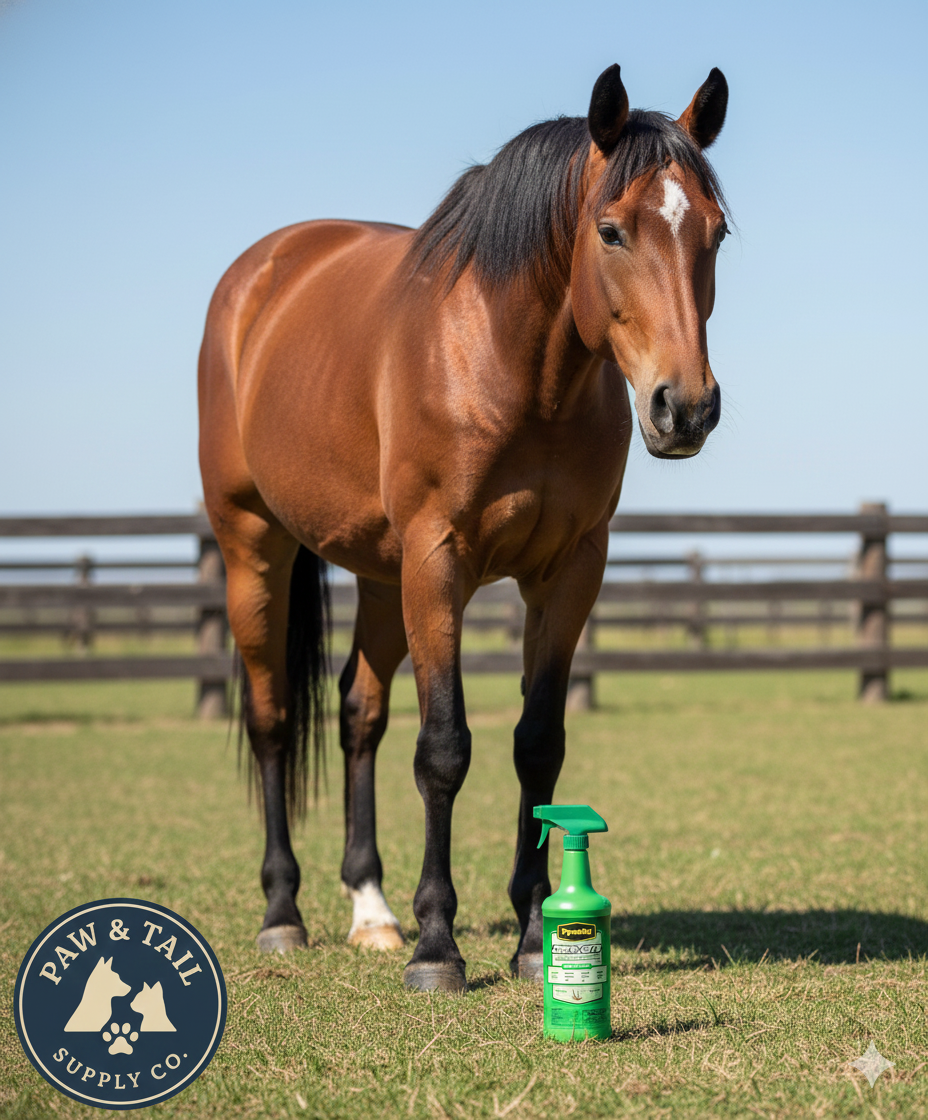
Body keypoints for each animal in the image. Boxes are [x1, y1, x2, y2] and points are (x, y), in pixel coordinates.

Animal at [198, 63, 730, 992]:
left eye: (718, 233)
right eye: (611, 231)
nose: (686, 407)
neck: (516, 368)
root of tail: (263, 272)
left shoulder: (568, 572)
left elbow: (538, 746)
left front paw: (532, 931)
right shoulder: (438, 562)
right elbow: (444, 749)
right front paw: (438, 945)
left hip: (380, 574)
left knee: (358, 714)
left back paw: (371, 913)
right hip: (254, 547)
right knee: (272, 719)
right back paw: (283, 913)